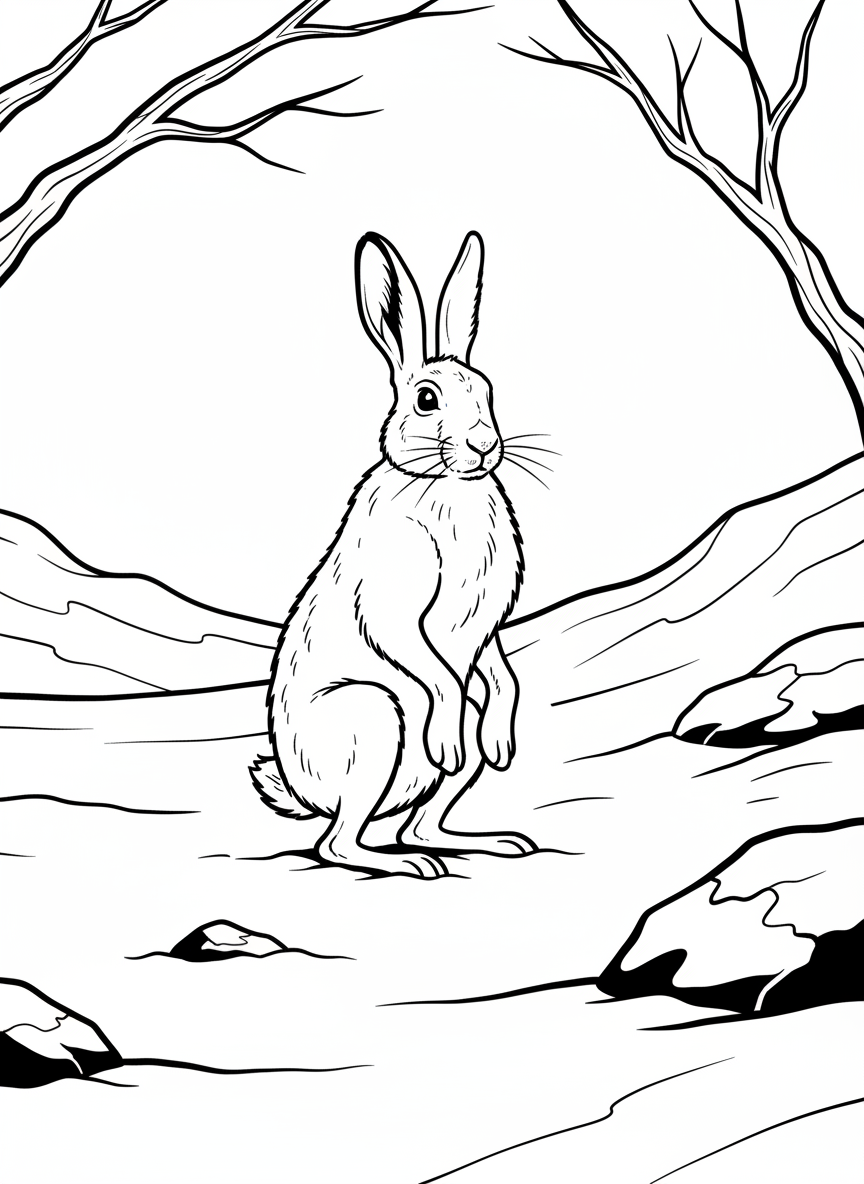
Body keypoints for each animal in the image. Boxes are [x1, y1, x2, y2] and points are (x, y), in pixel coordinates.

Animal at [251, 230, 536, 877]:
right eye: (426, 399)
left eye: (487, 390)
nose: (485, 445)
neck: (445, 482)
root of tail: (302, 791)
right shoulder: (397, 613)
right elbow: (428, 665)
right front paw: (449, 738)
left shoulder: (482, 632)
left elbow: (500, 674)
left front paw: (504, 744)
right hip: (374, 721)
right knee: (336, 843)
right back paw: (409, 862)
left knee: (418, 823)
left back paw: (490, 840)